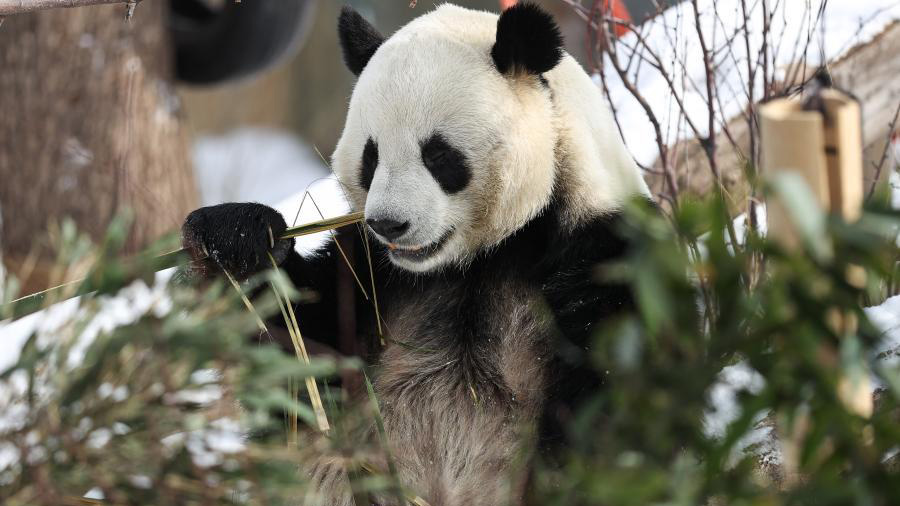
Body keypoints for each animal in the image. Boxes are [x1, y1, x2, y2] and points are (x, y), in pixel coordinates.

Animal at [181, 3, 652, 505]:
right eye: (371, 158)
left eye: (438, 154)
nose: (389, 224)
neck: (474, 261)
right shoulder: (371, 272)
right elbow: (303, 363)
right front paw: (236, 239)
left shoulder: (602, 253)